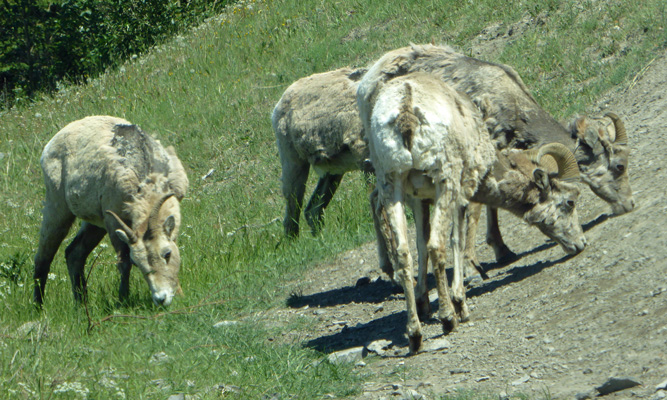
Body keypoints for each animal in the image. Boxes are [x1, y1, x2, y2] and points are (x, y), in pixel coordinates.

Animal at [35, 115, 189, 306]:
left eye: (167, 254)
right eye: (137, 262)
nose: (161, 298)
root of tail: (50, 145)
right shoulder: (113, 220)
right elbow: (123, 262)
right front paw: (123, 298)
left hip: (94, 224)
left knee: (74, 254)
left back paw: (81, 304)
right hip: (57, 206)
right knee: (43, 257)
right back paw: (38, 307)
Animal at [360, 70, 584, 352]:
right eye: (570, 202)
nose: (580, 244)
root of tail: (406, 110)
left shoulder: (418, 199)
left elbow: (420, 245)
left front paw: (423, 304)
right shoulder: (462, 190)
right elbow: (457, 240)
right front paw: (461, 304)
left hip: (391, 185)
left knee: (404, 254)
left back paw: (415, 335)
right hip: (445, 180)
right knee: (438, 246)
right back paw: (448, 318)